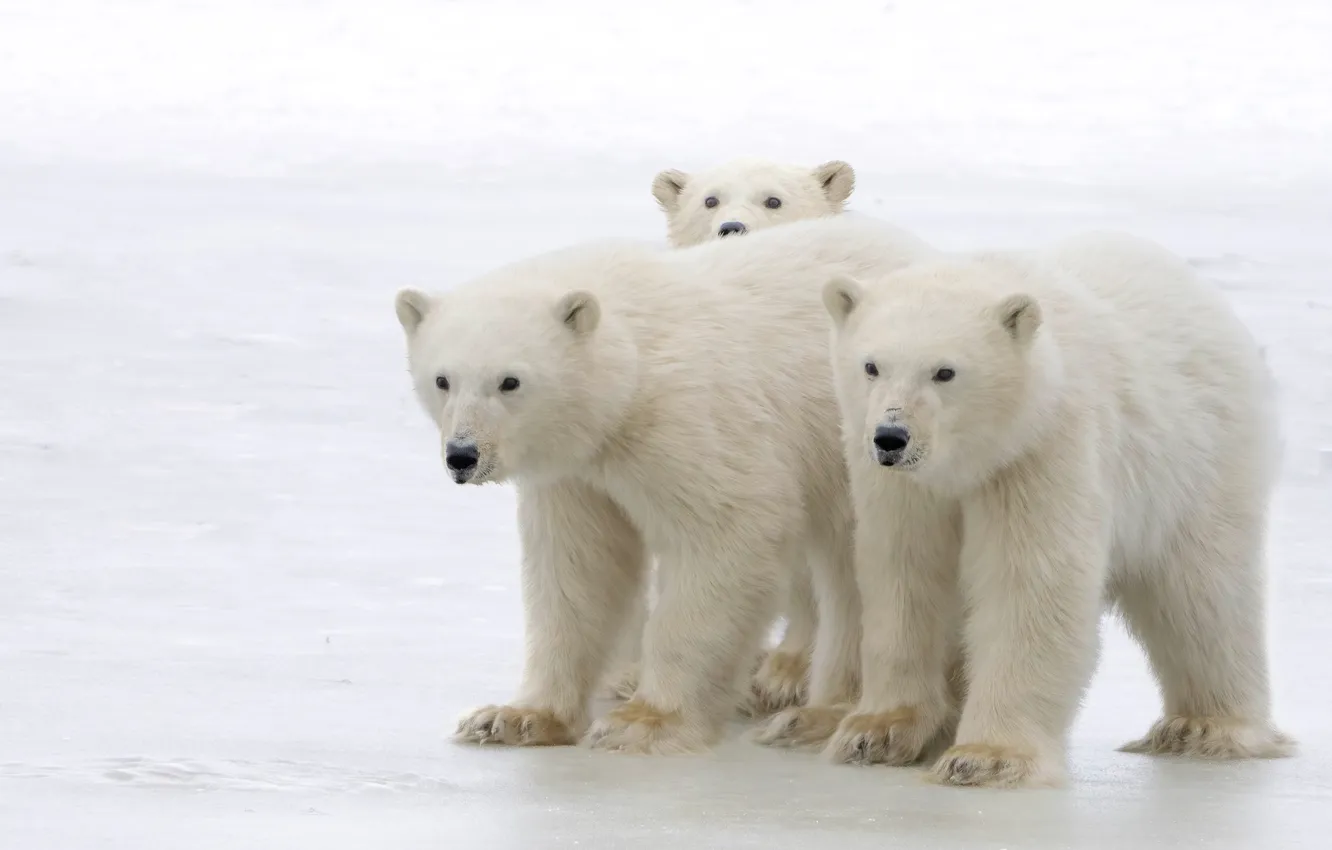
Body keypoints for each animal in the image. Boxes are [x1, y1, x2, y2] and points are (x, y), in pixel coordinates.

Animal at [393, 214, 934, 754]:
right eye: (442, 380)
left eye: (510, 381)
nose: (462, 455)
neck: (631, 363)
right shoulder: (577, 473)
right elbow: (577, 566)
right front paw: (514, 717)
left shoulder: (689, 416)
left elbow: (726, 532)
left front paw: (642, 720)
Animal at [756, 231, 1294, 787]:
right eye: (871, 365)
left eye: (945, 371)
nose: (891, 436)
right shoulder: (899, 488)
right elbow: (903, 574)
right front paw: (876, 730)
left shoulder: (1040, 451)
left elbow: (1030, 585)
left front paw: (986, 756)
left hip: (1198, 462)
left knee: (1203, 592)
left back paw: (1206, 727)